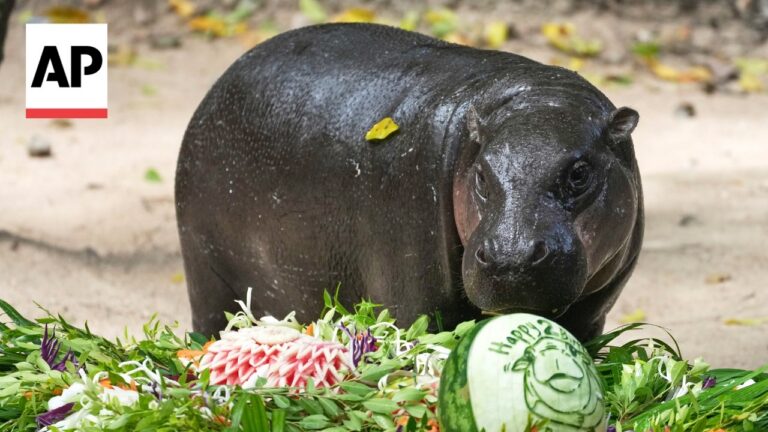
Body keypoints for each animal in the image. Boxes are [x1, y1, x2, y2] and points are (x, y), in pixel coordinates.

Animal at [176, 23, 643, 341]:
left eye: (580, 173)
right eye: (481, 173)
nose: (511, 257)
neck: (538, 99)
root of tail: (215, 90)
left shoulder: (590, 315)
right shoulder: (412, 296)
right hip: (207, 278)